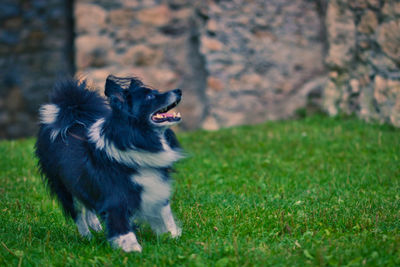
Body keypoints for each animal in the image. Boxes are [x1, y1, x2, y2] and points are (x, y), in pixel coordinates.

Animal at [34, 75, 184, 253]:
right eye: (149, 97)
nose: (179, 90)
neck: (138, 137)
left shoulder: (155, 186)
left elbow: (165, 213)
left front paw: (173, 236)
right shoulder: (115, 196)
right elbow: (121, 226)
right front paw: (133, 250)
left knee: (87, 205)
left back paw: (95, 226)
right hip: (63, 186)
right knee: (77, 213)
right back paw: (87, 237)